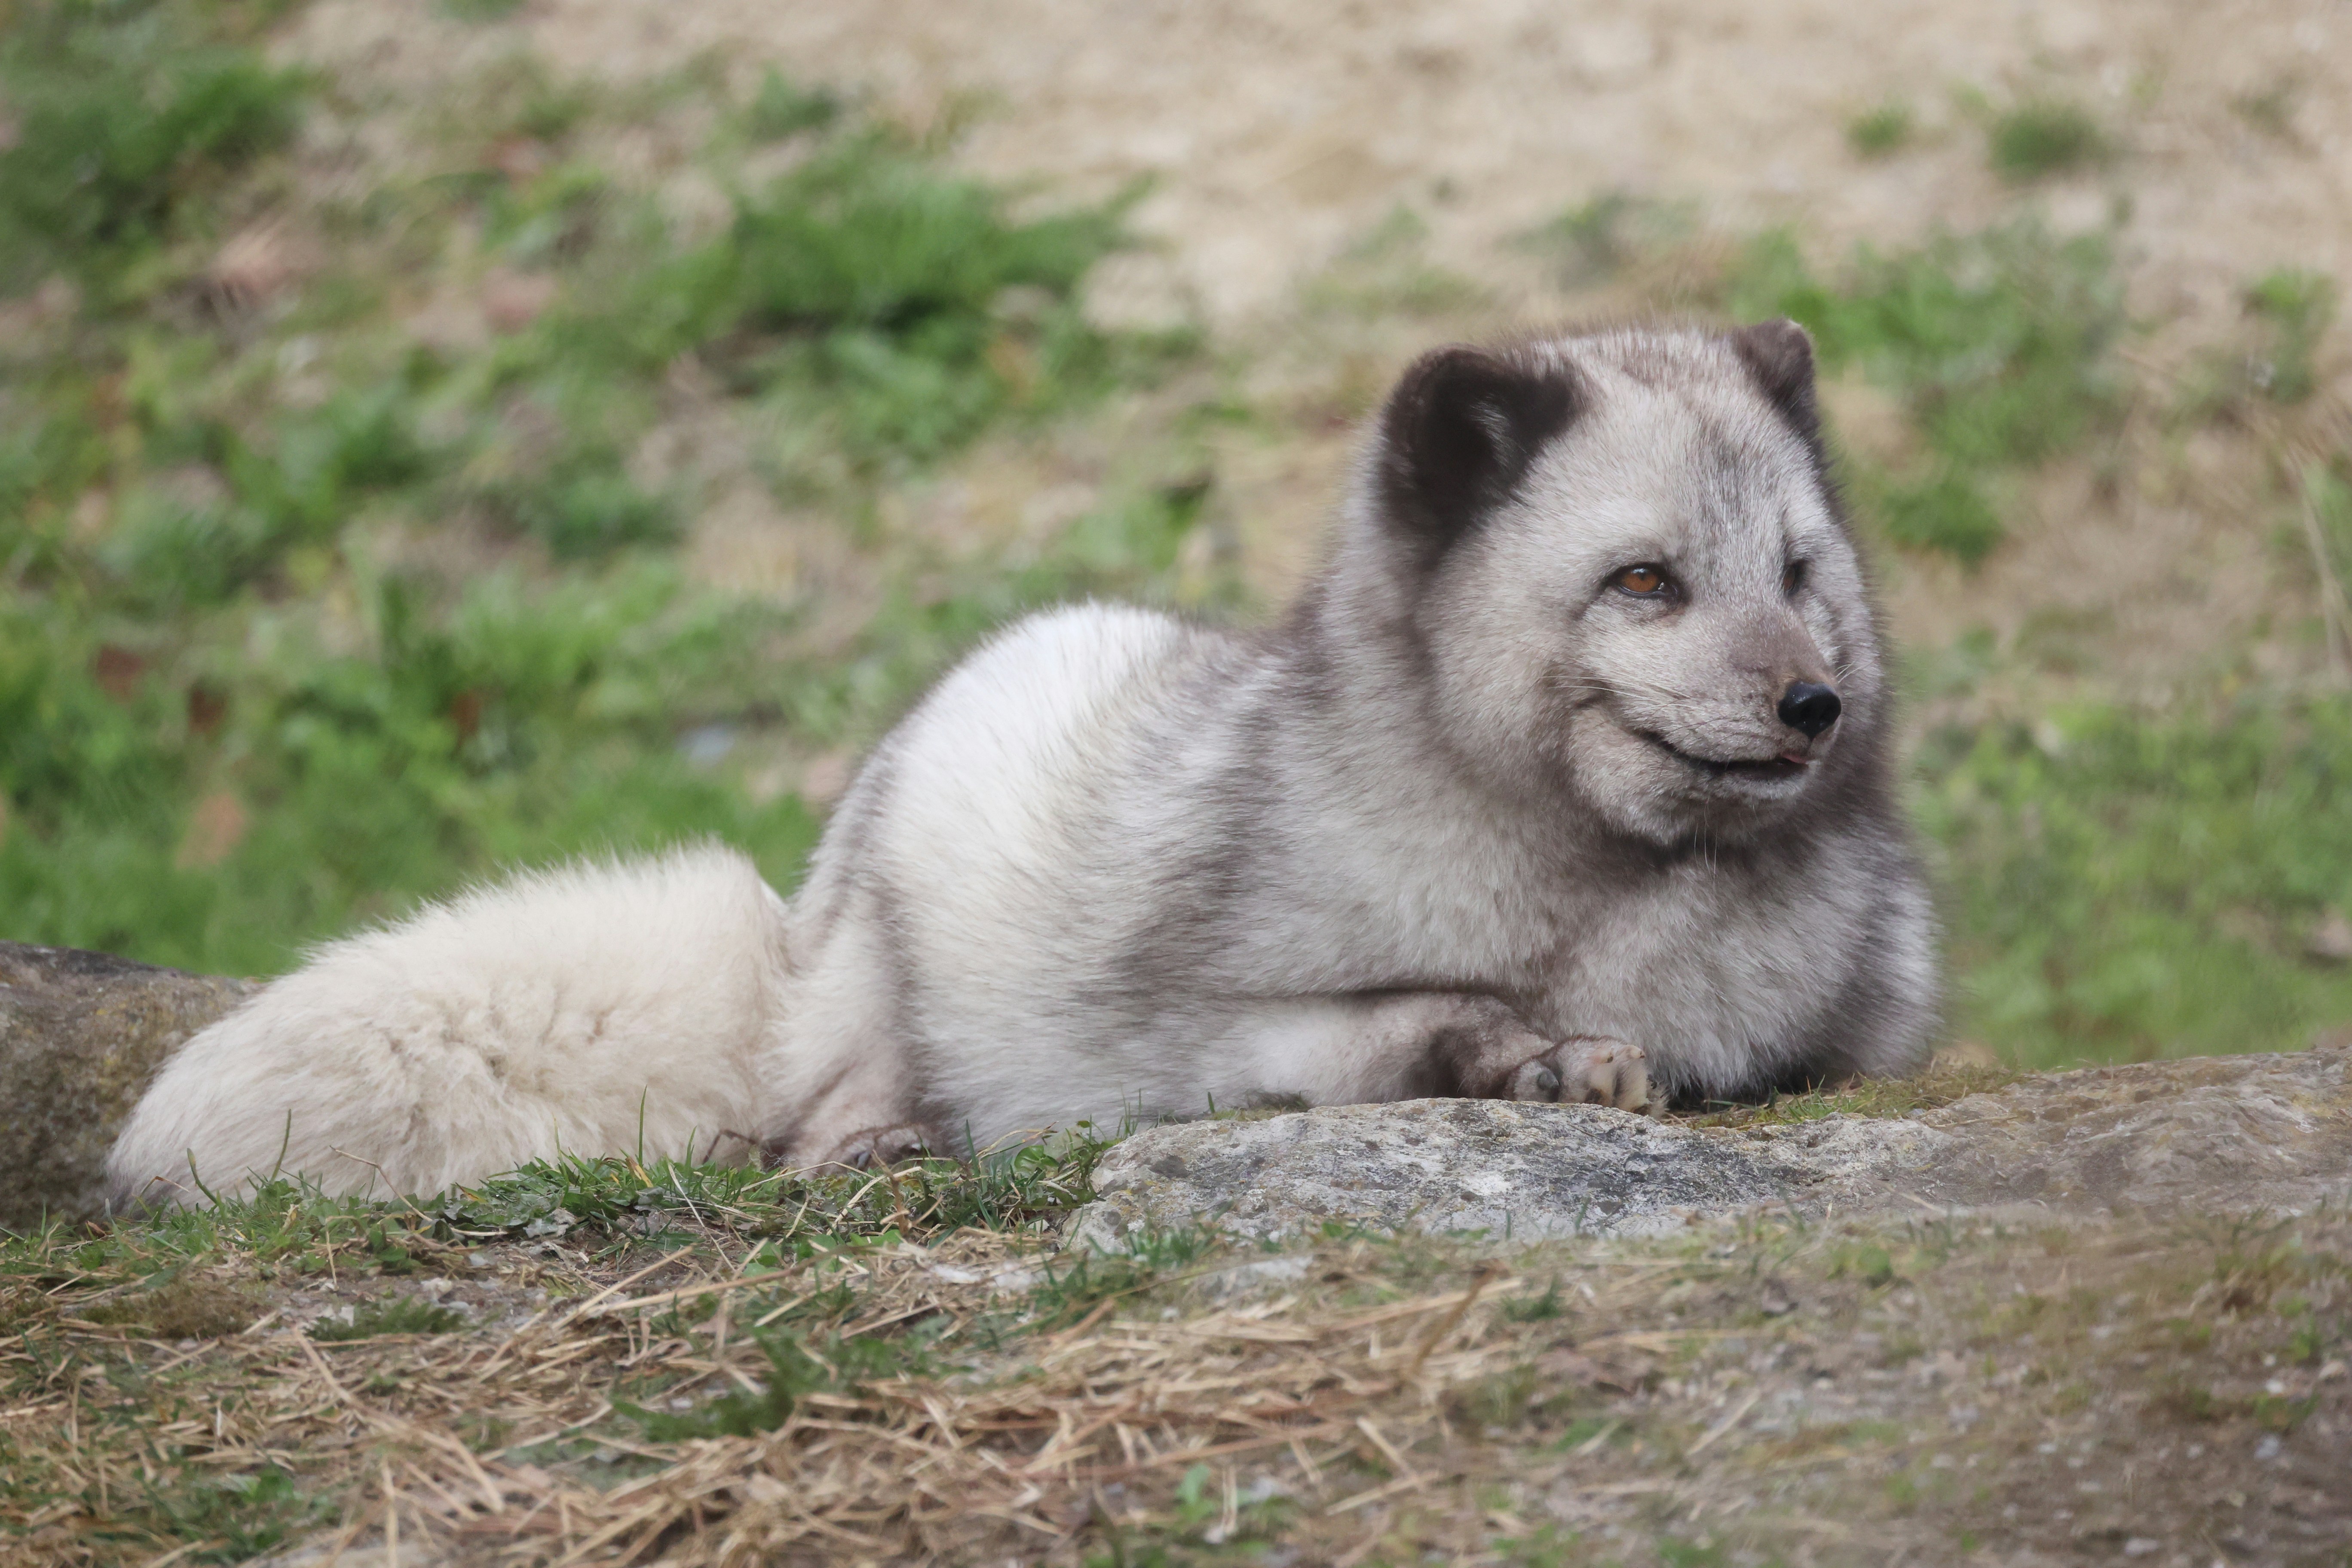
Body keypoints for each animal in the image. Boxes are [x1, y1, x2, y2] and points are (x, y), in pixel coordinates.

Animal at [107, 319, 1939, 1207]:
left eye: (1795, 572)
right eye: (1645, 582)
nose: (1810, 706)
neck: (1604, 893)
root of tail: (796, 907)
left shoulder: (1852, 1034)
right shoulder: (1193, 1031)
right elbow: (1405, 1021)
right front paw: (1533, 1056)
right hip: (899, 961)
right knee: (797, 1123)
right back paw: (876, 1149)